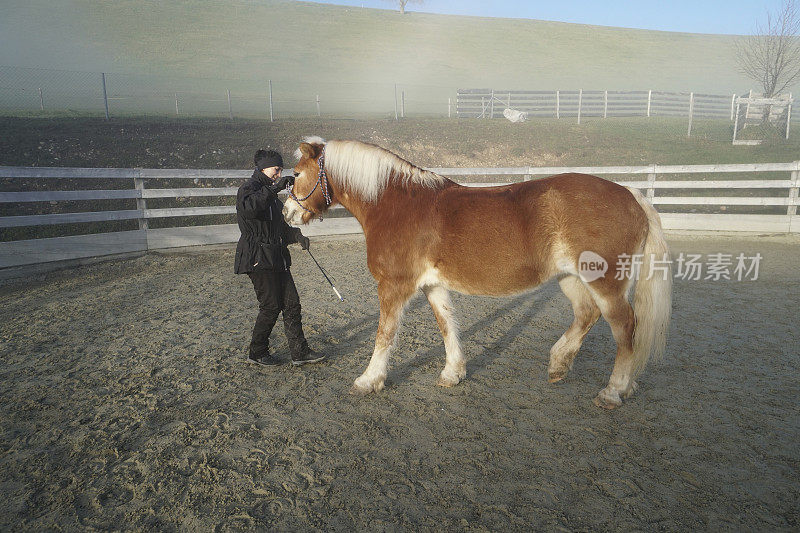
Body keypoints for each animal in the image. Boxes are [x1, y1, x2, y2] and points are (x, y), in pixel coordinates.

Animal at [284, 137, 672, 408]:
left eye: (297, 175)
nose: (287, 213)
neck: (395, 204)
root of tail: (632, 195)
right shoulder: (432, 285)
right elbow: (446, 325)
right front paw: (452, 374)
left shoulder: (393, 286)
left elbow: (385, 335)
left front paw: (368, 381)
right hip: (571, 279)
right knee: (586, 314)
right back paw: (560, 365)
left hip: (605, 282)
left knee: (625, 327)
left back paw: (613, 390)